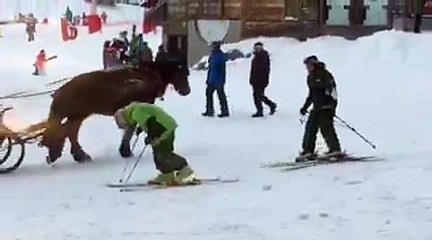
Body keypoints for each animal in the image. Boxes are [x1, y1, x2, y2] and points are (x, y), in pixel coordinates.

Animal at [41, 58, 191, 163]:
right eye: (180, 73)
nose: (187, 91)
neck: (150, 75)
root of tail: (59, 92)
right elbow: (131, 129)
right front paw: (125, 150)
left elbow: (130, 129)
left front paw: (125, 150)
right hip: (76, 114)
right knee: (68, 132)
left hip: (78, 115)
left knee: (69, 132)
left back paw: (78, 155)